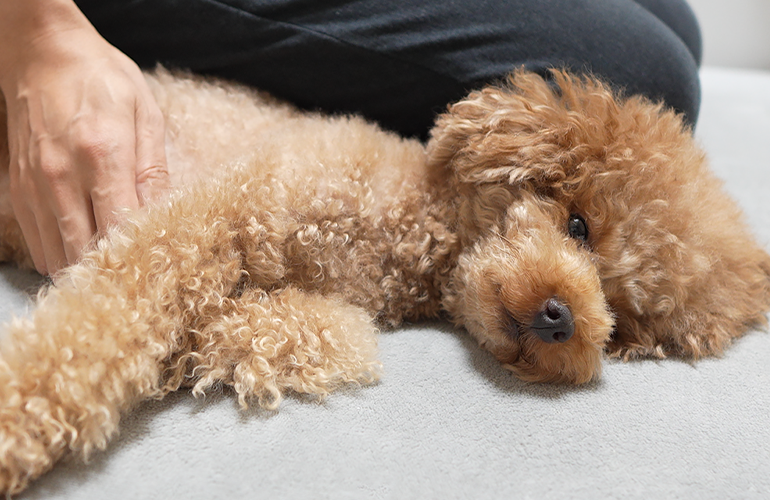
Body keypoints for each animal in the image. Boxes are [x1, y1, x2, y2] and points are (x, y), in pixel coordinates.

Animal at [0, 68, 764, 494]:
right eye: (578, 226)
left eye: (623, 324)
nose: (563, 318)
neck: (407, 228)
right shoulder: (212, 216)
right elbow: (104, 319)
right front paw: (17, 419)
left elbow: (291, 331)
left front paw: (223, 339)